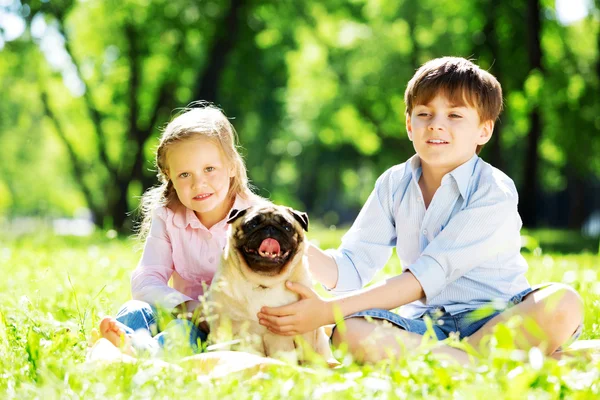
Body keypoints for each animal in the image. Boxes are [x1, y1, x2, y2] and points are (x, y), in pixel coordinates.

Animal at [207, 205, 336, 364]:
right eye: (252, 225)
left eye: (287, 227)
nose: (270, 228)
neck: (263, 282)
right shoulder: (221, 326)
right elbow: (221, 350)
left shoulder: (303, 331)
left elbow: (305, 355)